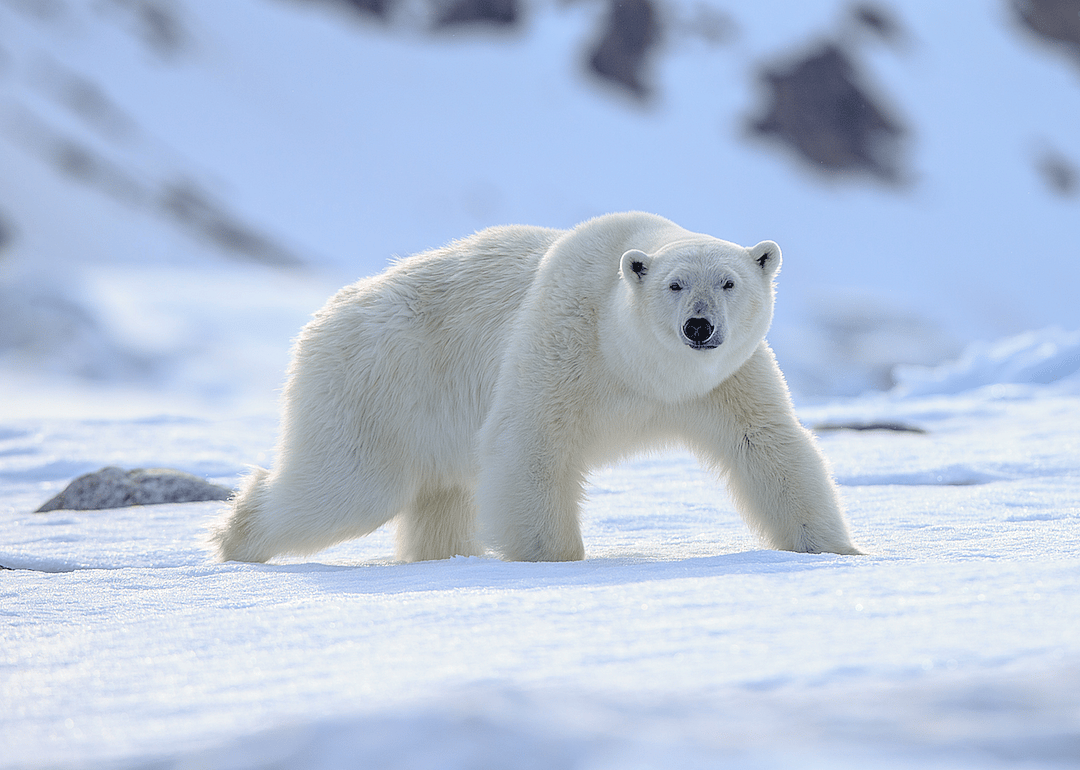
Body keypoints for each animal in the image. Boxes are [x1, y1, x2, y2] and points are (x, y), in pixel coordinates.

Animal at [210, 211, 859, 563]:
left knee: (440, 498)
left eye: (728, 281)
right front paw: (554, 559)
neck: (639, 368)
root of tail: (324, 316)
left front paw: (836, 550)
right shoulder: (564, 338)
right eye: (675, 284)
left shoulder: (724, 381)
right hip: (378, 382)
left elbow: (768, 446)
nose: (699, 327)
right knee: (347, 486)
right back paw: (235, 539)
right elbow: (532, 442)